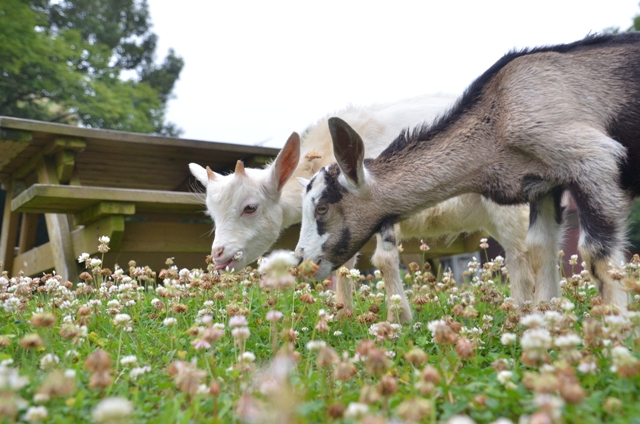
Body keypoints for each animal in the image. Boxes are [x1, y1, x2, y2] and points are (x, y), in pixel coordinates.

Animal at [190, 94, 536, 322]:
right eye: (212, 215)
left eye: (250, 208)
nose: (218, 256)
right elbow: (343, 264)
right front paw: (343, 314)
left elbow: (383, 259)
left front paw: (399, 317)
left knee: (520, 251)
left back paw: (522, 313)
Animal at [296, 32, 640, 308]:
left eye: (322, 208)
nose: (301, 262)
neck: (498, 115)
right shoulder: (543, 185)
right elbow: (540, 249)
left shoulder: (593, 160)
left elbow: (595, 254)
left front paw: (615, 332)